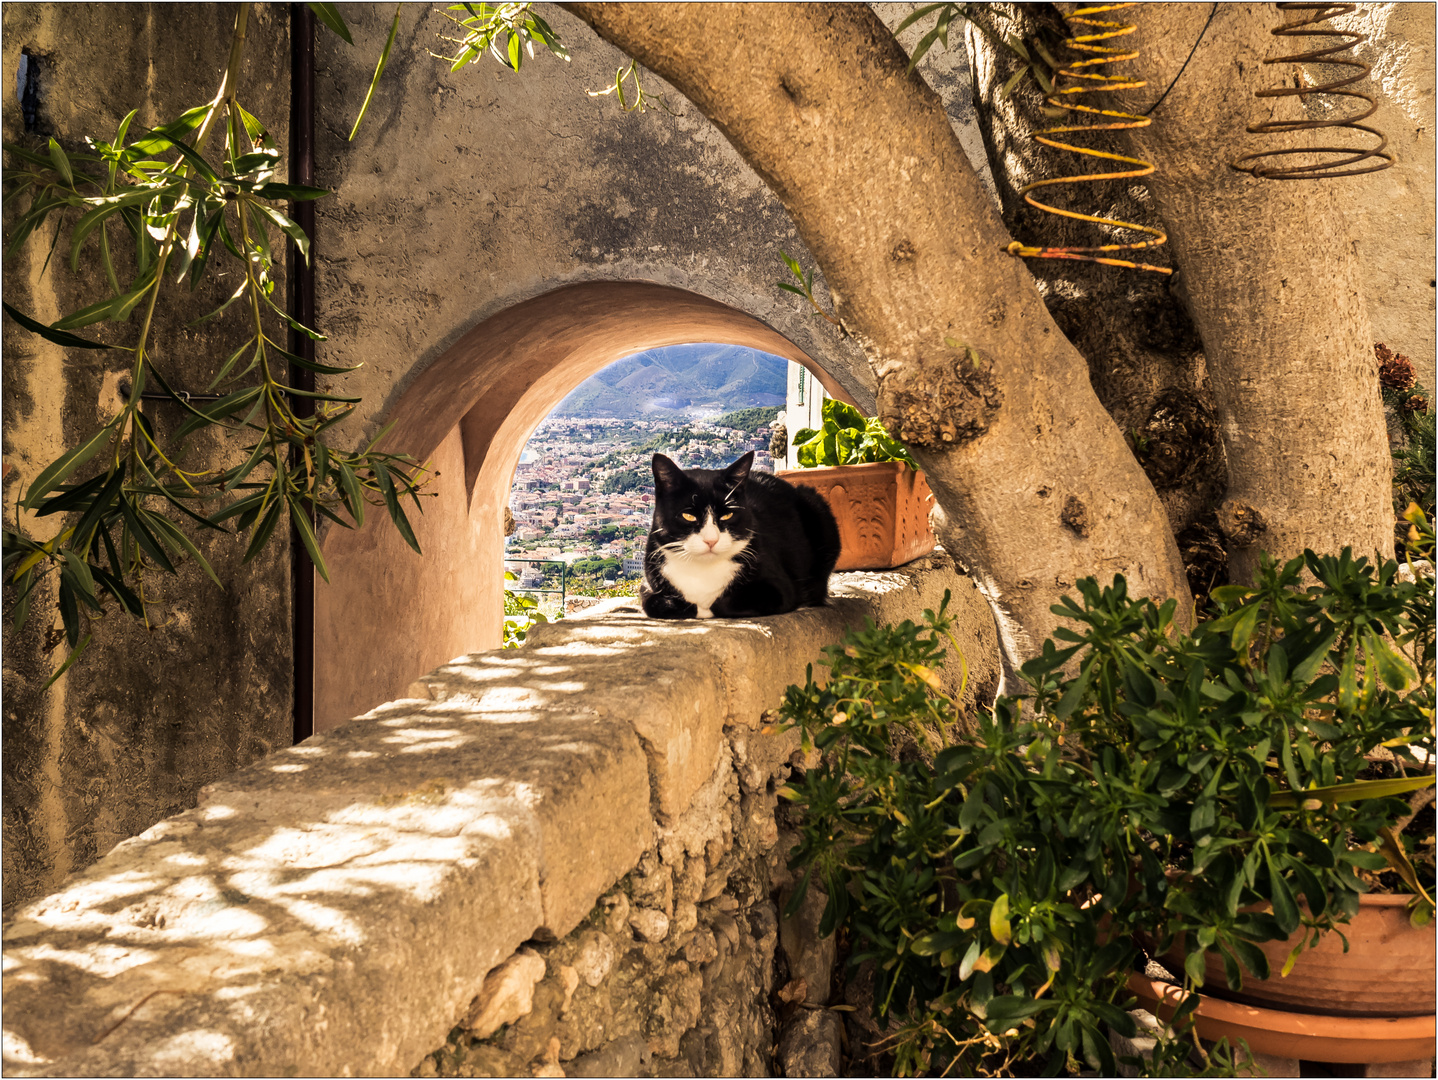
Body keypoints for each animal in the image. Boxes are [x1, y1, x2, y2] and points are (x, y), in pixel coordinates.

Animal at [641, 451, 839, 621]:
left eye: (727, 515)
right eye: (688, 516)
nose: (711, 540)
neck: (703, 571)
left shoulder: (781, 589)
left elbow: (724, 603)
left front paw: (707, 607)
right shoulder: (649, 584)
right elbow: (652, 603)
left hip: (815, 505)